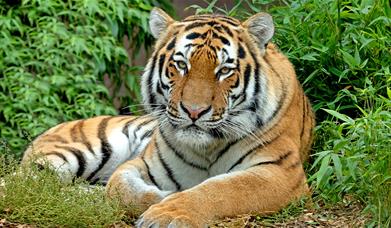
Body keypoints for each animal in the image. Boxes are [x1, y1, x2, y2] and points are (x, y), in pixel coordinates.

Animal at [21, 7, 316, 228]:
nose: (194, 111)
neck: (207, 148)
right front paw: (160, 199)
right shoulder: (145, 163)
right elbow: (120, 186)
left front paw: (166, 214)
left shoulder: (280, 171)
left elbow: (222, 189)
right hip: (78, 153)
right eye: (182, 65)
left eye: (224, 70)